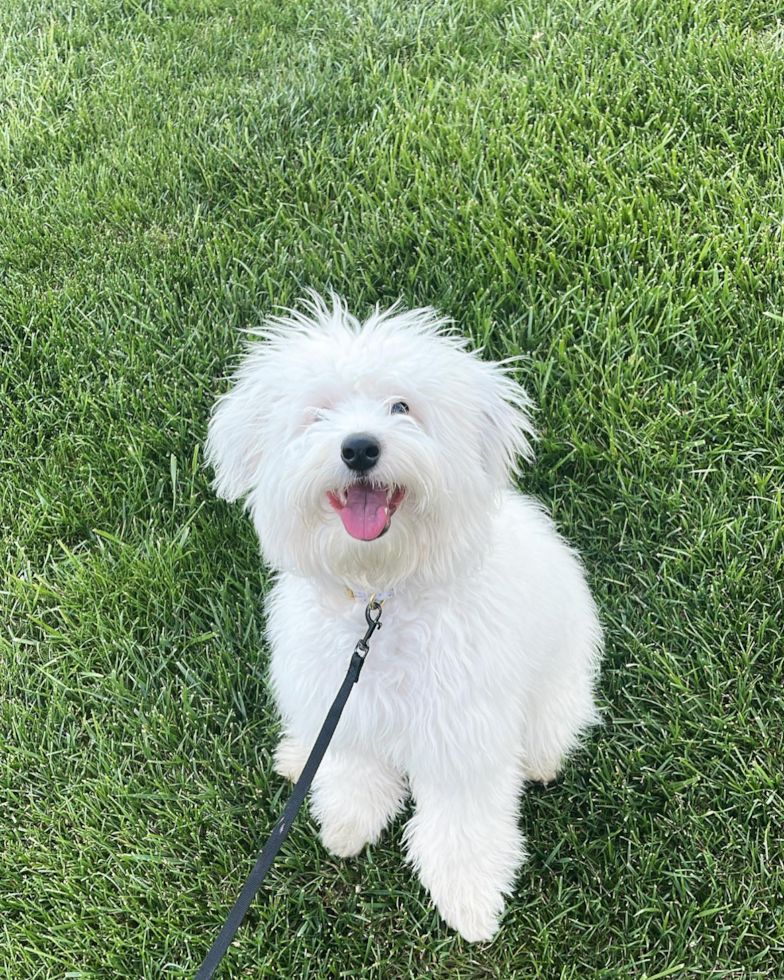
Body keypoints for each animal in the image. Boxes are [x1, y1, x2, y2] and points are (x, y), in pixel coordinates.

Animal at [205, 292, 604, 940]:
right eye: (319, 413)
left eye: (402, 406)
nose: (359, 447)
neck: (381, 595)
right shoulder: (343, 706)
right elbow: (353, 771)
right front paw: (349, 822)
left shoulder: (463, 730)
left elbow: (462, 821)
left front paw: (470, 897)